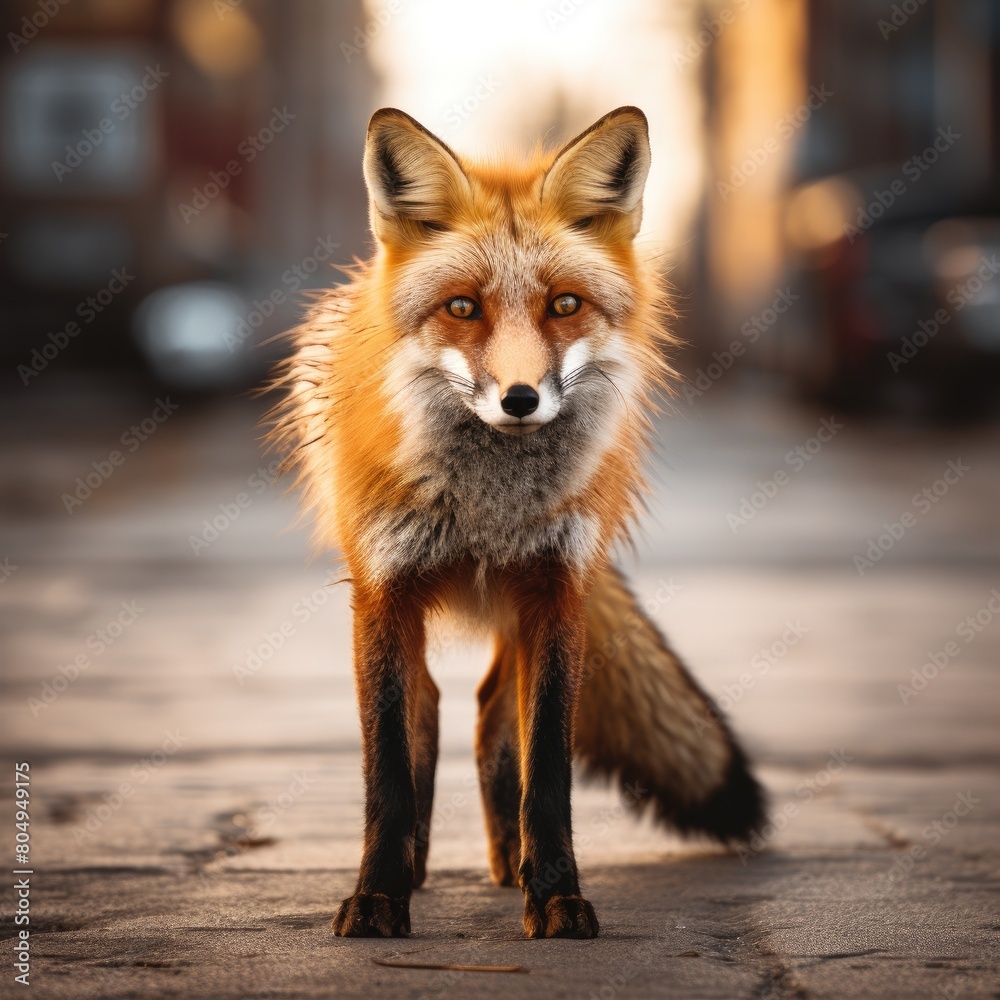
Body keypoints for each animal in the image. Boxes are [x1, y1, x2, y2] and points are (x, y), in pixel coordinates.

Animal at [268, 105, 765, 939]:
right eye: (462, 307)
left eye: (564, 304)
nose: (521, 399)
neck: (486, 511)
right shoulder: (382, 591)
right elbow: (387, 772)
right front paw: (378, 895)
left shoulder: (555, 591)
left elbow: (548, 769)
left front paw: (556, 893)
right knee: (432, 710)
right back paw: (420, 864)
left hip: (522, 611)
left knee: (487, 711)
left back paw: (511, 862)